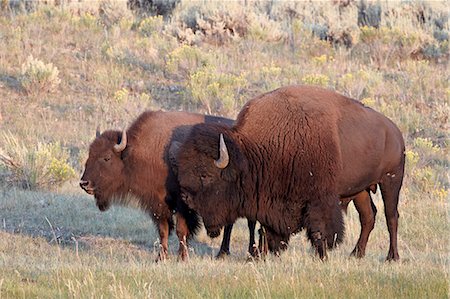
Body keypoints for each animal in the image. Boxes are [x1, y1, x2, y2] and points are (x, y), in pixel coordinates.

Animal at [78, 111, 250, 262]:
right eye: (90, 154)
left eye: (106, 157)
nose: (84, 183)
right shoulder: (158, 203)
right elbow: (163, 230)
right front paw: (160, 258)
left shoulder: (182, 203)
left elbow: (181, 230)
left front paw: (182, 258)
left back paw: (224, 253)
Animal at [172, 85, 404, 262]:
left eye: (205, 175)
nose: (185, 196)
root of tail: (394, 131)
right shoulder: (270, 202)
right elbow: (266, 230)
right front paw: (262, 255)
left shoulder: (319, 199)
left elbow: (320, 230)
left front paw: (322, 257)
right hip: (361, 190)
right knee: (368, 217)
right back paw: (356, 254)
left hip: (391, 180)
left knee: (391, 217)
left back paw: (392, 257)